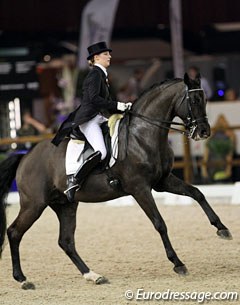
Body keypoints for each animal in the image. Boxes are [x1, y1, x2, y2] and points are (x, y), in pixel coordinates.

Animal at [0, 73, 232, 288]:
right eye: (193, 100)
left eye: (205, 99)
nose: (204, 131)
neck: (143, 136)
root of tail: (25, 156)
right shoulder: (140, 188)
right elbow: (160, 223)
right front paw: (178, 263)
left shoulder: (162, 182)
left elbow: (197, 193)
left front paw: (222, 229)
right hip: (34, 204)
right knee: (14, 232)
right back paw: (22, 279)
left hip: (65, 204)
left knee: (66, 241)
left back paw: (93, 276)